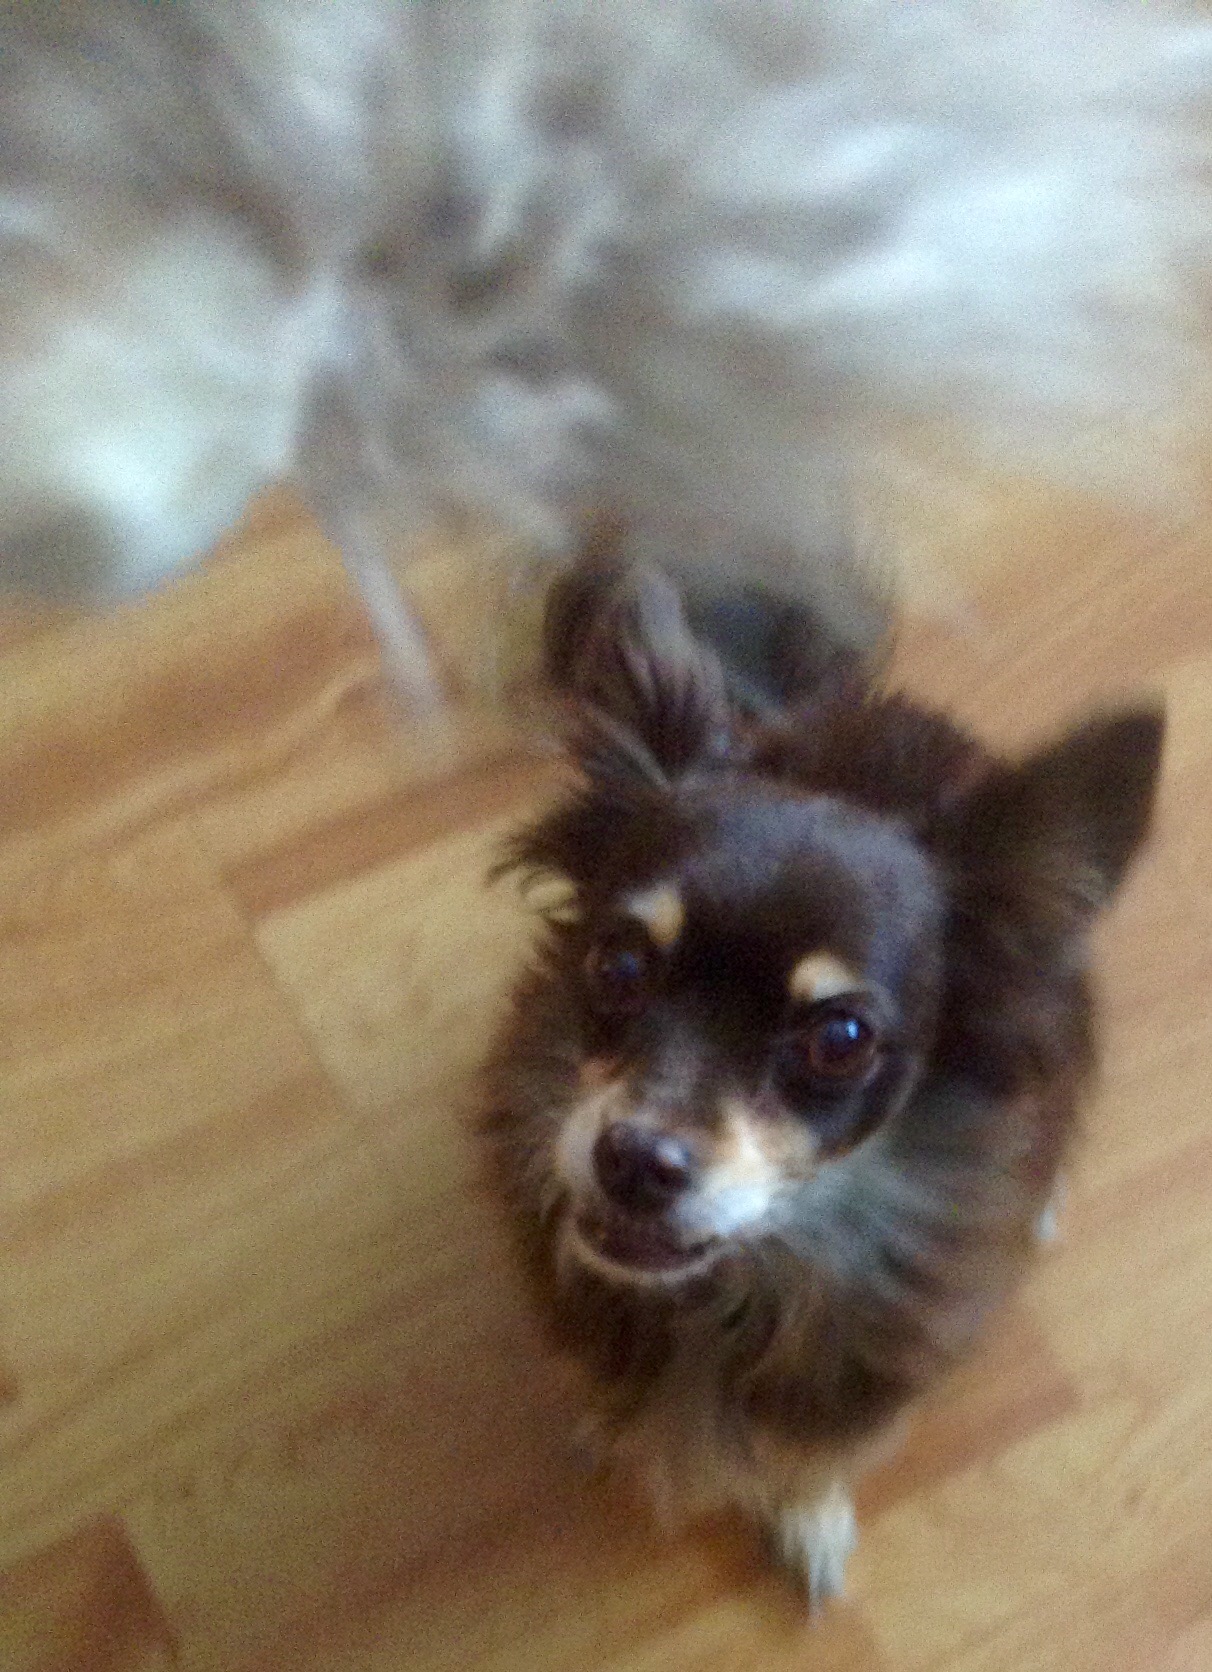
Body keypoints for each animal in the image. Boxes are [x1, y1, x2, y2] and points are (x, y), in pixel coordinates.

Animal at [482, 553, 1163, 1609]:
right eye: (618, 965)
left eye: (840, 1039)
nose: (633, 1160)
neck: (736, 1288)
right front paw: (604, 1422)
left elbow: (811, 1460)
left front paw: (805, 1520)